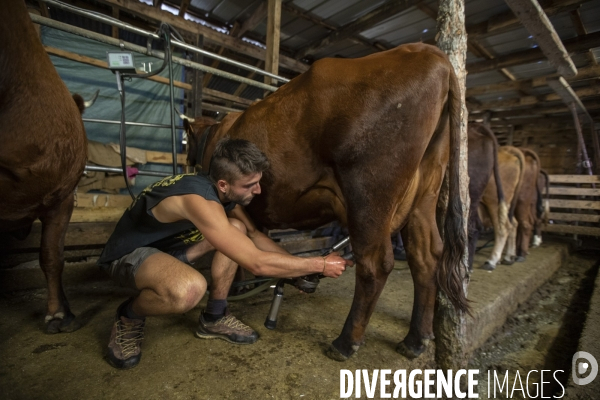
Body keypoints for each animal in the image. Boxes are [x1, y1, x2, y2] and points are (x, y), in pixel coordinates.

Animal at [183, 43, 468, 360]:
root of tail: (425, 51)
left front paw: (239, 287)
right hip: (424, 196)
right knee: (426, 256)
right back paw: (416, 339)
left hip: (368, 192)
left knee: (375, 263)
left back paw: (345, 343)